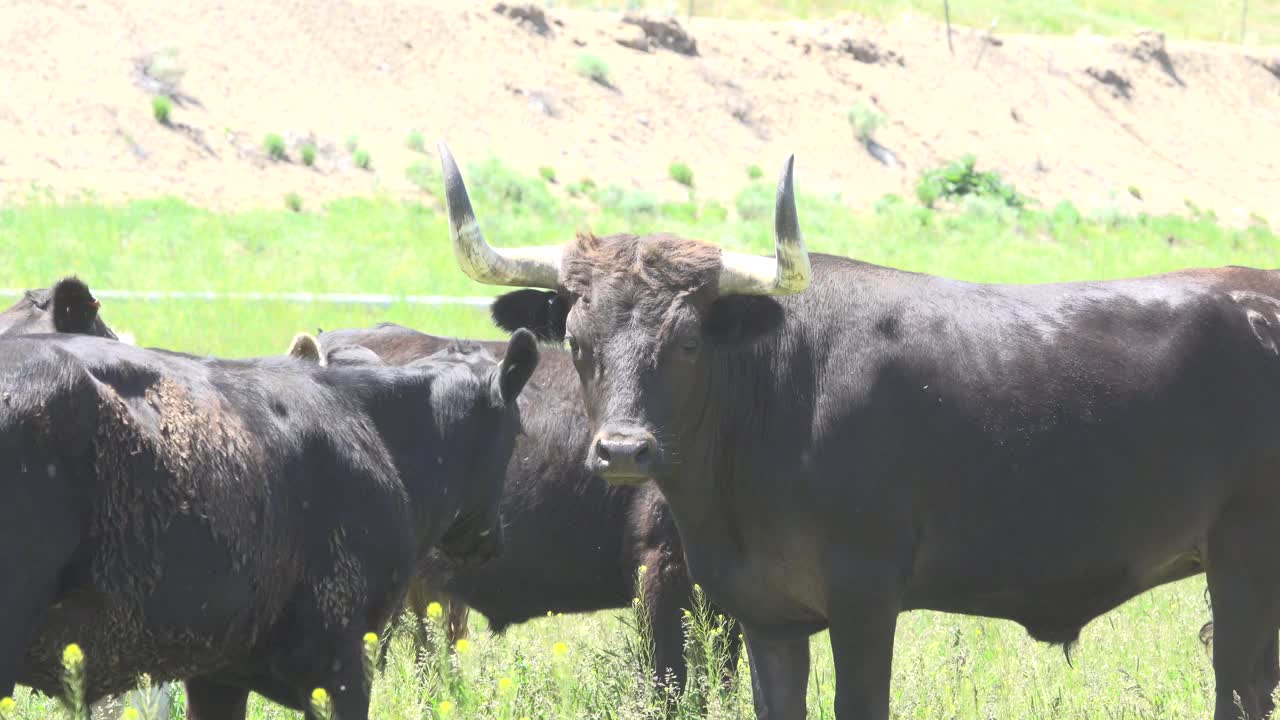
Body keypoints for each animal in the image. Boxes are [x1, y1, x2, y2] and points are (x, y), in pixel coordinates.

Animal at [435, 141, 1280, 717]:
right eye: (578, 341)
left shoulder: (866, 599)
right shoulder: (766, 617)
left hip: (1245, 557)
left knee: (1240, 687)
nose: (622, 449)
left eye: (687, 341)